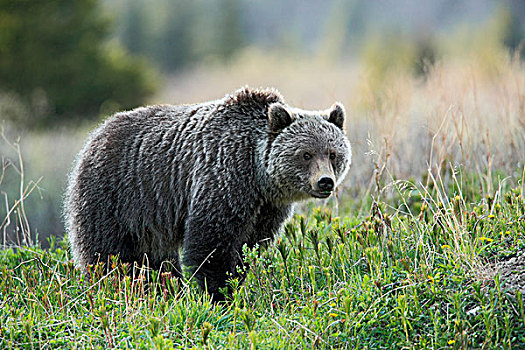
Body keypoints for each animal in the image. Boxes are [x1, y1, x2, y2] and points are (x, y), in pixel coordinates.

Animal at [66, 87, 352, 300]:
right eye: (306, 154)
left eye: (332, 153)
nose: (325, 182)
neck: (257, 174)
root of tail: (95, 134)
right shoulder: (222, 178)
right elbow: (212, 243)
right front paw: (217, 293)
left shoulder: (266, 208)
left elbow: (248, 245)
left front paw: (235, 279)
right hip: (114, 195)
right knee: (107, 254)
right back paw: (113, 287)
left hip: (150, 220)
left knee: (157, 259)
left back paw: (162, 289)